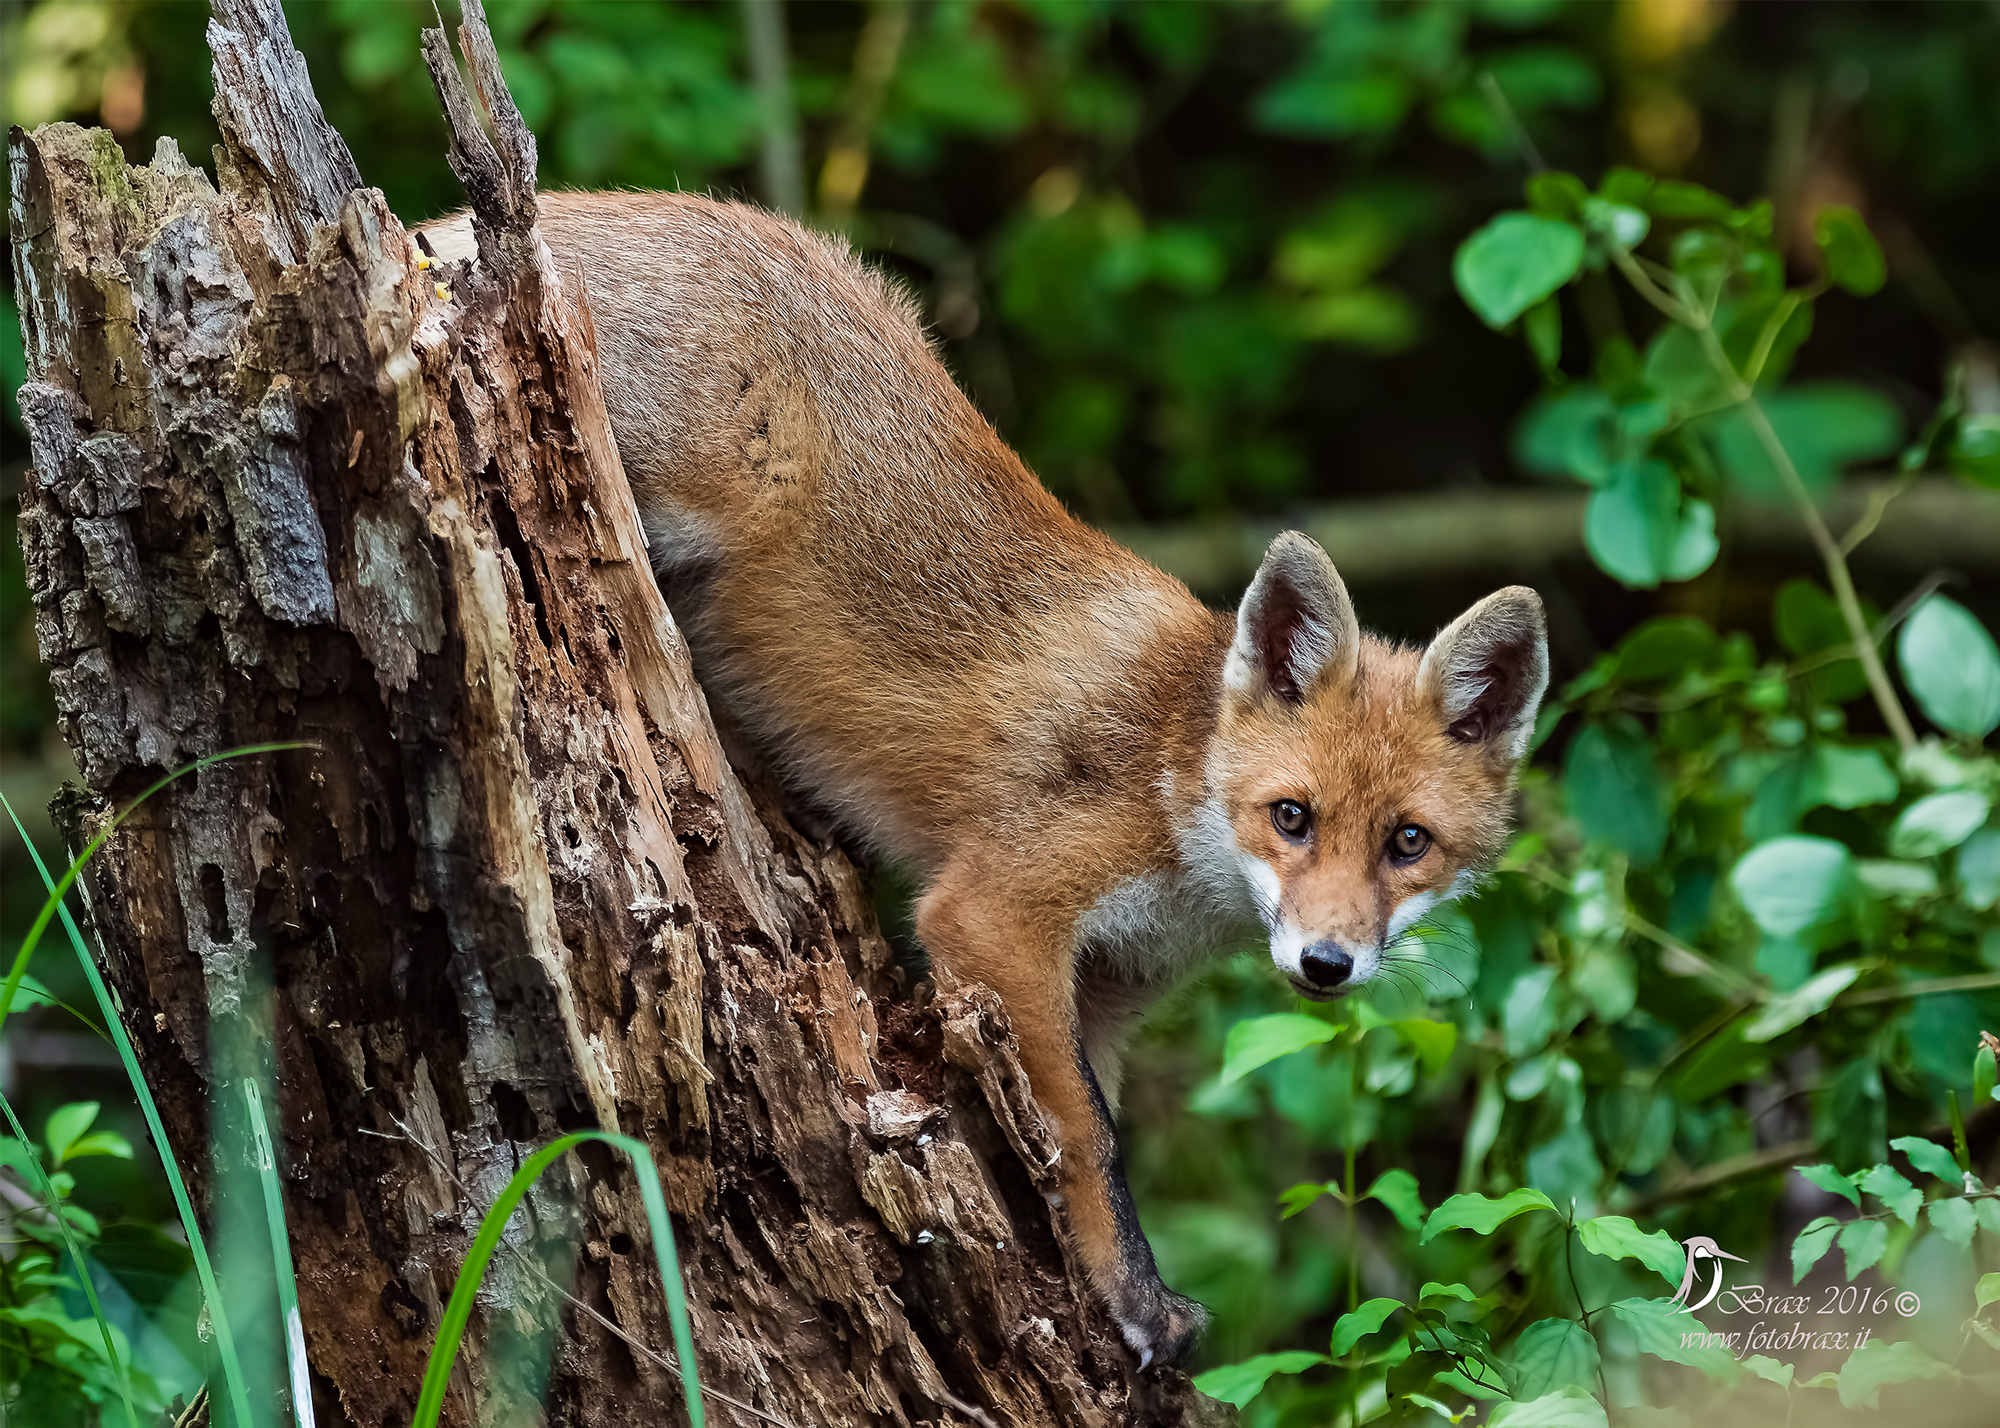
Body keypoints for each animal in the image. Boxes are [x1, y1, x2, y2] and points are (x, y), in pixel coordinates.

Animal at [423, 192, 1549, 1368]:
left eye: (1407, 843)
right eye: (1291, 817)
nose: (1326, 965)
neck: (1172, 789)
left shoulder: (1104, 992)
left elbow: (1094, 1132)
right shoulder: (993, 913)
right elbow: (1089, 1141)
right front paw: (1126, 1299)